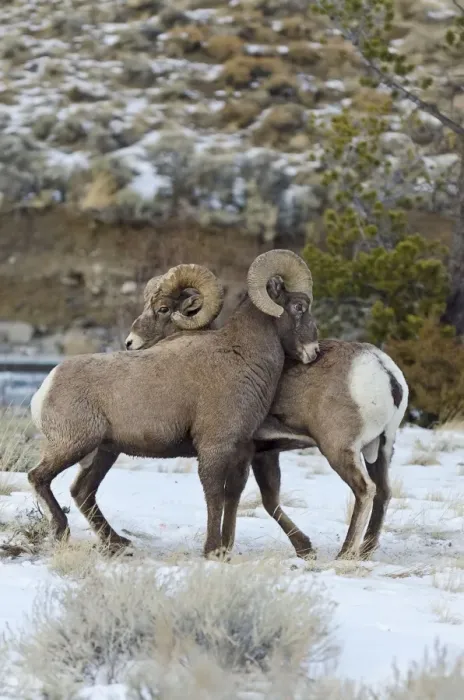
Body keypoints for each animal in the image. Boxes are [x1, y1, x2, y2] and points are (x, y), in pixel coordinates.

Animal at [29, 250, 318, 557]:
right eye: (299, 306)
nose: (313, 351)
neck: (240, 356)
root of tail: (46, 386)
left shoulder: (241, 450)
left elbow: (232, 496)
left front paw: (225, 549)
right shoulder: (213, 448)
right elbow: (214, 495)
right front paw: (212, 550)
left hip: (104, 452)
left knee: (83, 492)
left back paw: (118, 543)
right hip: (73, 445)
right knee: (39, 477)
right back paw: (62, 531)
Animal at [126, 281, 408, 560]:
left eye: (163, 309)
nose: (130, 343)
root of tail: (382, 369)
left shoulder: (244, 451)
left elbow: (238, 496)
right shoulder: (265, 453)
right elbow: (266, 500)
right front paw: (303, 549)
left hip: (339, 449)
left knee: (365, 490)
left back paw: (345, 553)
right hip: (382, 448)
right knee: (383, 492)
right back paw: (366, 551)